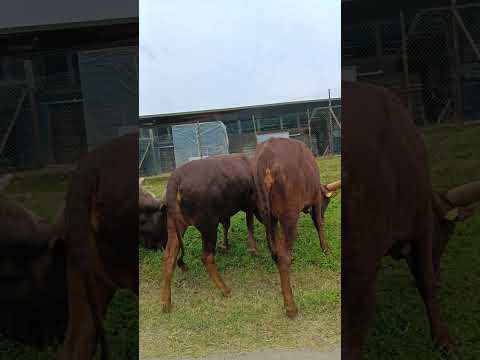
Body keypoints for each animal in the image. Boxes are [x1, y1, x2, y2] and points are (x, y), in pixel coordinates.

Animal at [160, 153, 258, 310]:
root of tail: (176, 177)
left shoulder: (225, 213)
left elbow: (227, 225)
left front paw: (226, 246)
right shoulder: (249, 204)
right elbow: (250, 225)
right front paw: (254, 249)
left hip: (175, 224)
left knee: (169, 257)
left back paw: (166, 303)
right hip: (208, 225)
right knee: (207, 257)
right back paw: (225, 289)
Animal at [249, 138, 340, 318]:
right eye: (326, 202)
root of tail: (266, 157)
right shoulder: (315, 199)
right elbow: (318, 223)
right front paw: (325, 248)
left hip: (266, 213)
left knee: (276, 251)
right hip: (290, 216)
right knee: (283, 257)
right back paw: (290, 306)